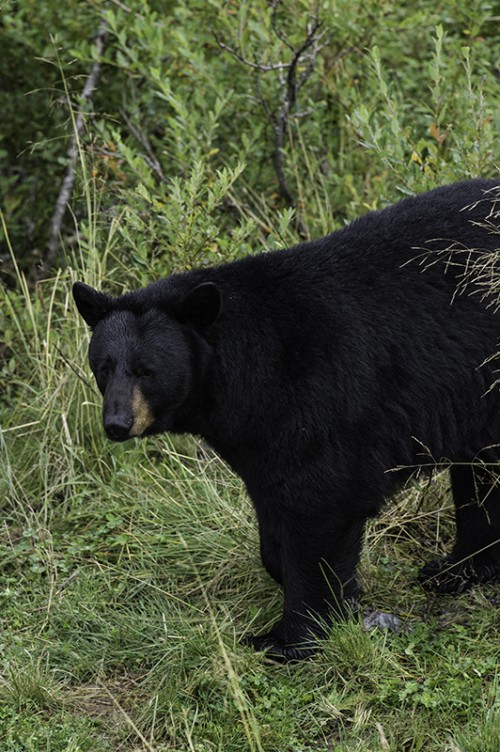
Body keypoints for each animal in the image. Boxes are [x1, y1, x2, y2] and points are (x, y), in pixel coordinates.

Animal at [73, 179, 500, 660]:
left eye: (147, 370)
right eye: (104, 367)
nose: (117, 423)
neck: (245, 371)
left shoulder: (318, 398)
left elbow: (320, 503)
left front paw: (288, 636)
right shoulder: (259, 433)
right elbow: (274, 507)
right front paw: (327, 595)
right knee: (481, 478)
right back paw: (455, 569)